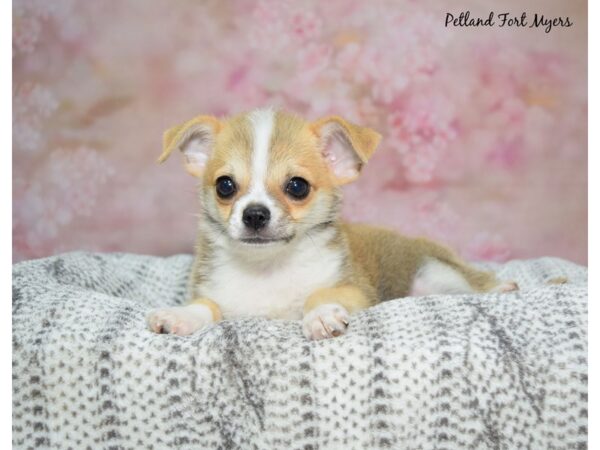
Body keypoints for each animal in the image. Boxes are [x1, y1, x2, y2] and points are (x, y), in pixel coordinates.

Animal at [146, 110, 516, 342]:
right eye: (225, 186)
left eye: (297, 186)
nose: (254, 214)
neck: (268, 268)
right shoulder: (215, 293)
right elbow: (205, 306)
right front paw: (180, 316)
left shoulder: (354, 289)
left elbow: (321, 293)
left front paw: (321, 315)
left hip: (435, 273)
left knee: (473, 284)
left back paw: (500, 288)